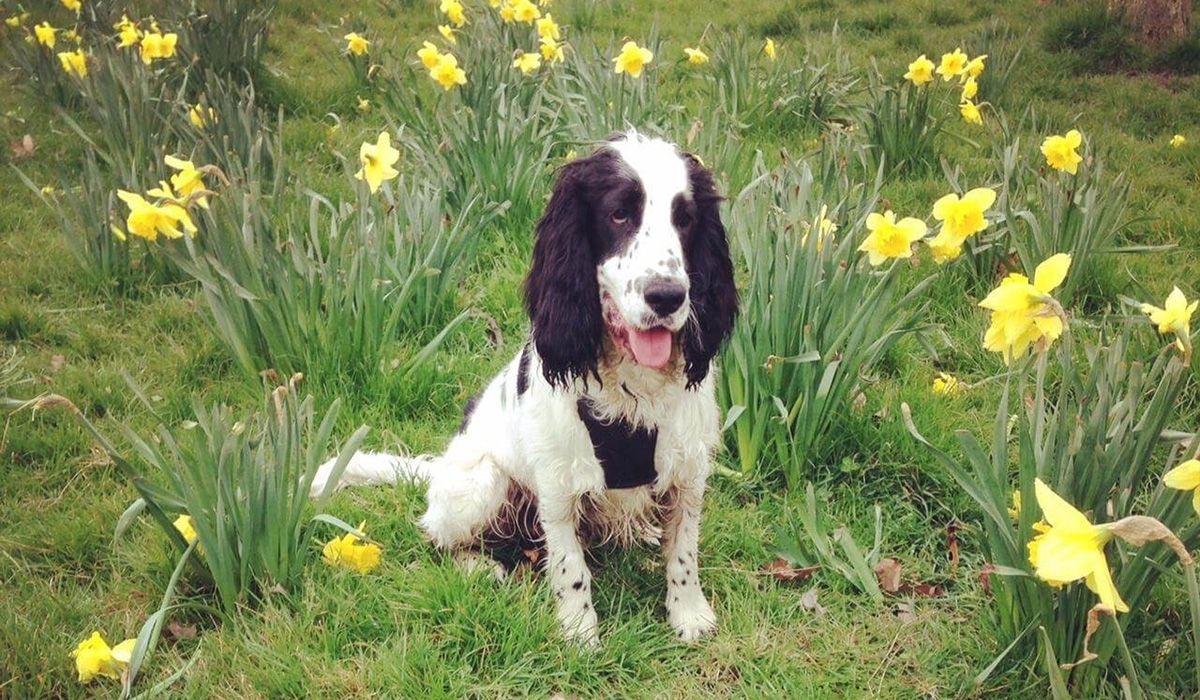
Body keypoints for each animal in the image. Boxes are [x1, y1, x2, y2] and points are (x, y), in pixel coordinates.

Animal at [307, 131, 739, 648]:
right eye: (619, 214)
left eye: (685, 219)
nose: (668, 297)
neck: (632, 385)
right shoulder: (558, 482)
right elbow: (571, 568)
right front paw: (579, 632)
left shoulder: (688, 470)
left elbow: (684, 553)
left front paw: (689, 614)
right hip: (482, 483)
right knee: (437, 535)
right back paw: (478, 566)